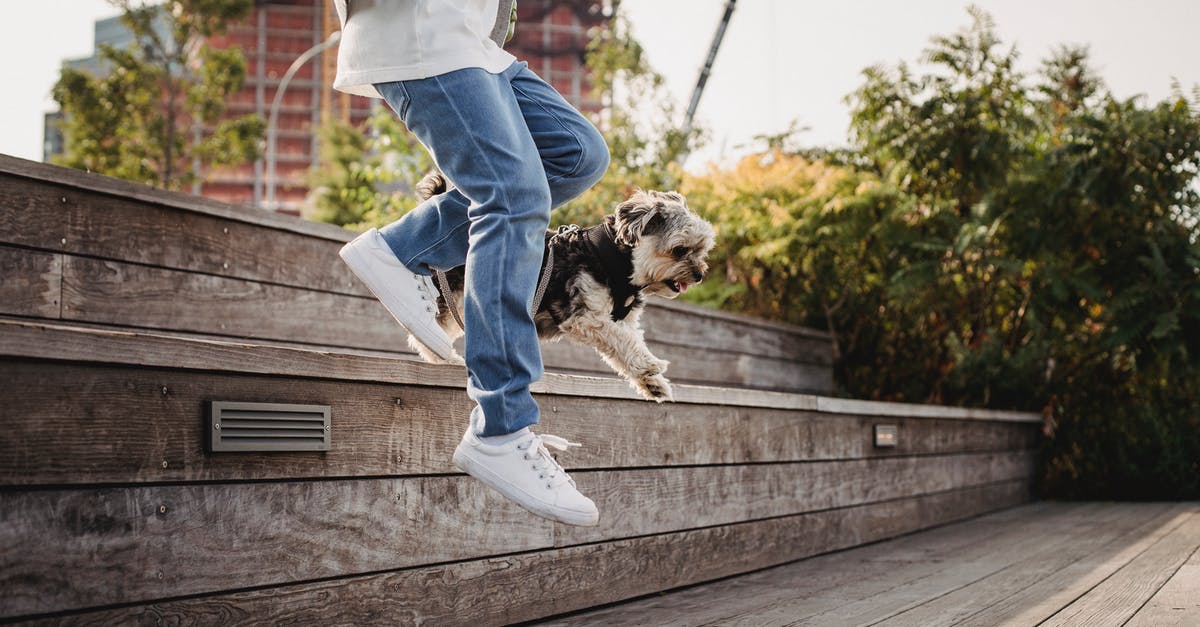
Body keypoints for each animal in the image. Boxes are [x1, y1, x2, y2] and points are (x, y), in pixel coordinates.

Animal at [410, 171, 710, 401]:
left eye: (703, 250)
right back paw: (445, 358)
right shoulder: (585, 317)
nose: (699, 275)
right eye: (680, 250)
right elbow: (625, 342)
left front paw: (653, 383)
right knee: (426, 332)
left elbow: (625, 347)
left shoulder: (621, 320)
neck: (614, 261)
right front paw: (651, 364)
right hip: (451, 294)